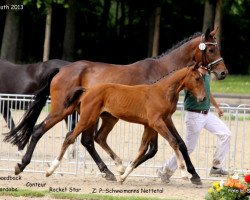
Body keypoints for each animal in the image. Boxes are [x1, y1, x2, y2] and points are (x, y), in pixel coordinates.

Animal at [46, 64, 205, 184]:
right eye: (197, 78)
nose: (203, 98)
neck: (161, 92)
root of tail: (87, 90)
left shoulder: (151, 124)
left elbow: (142, 149)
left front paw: (123, 176)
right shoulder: (157, 122)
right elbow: (173, 142)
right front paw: (184, 173)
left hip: (108, 119)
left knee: (99, 138)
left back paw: (119, 167)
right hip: (88, 118)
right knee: (70, 137)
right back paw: (50, 170)